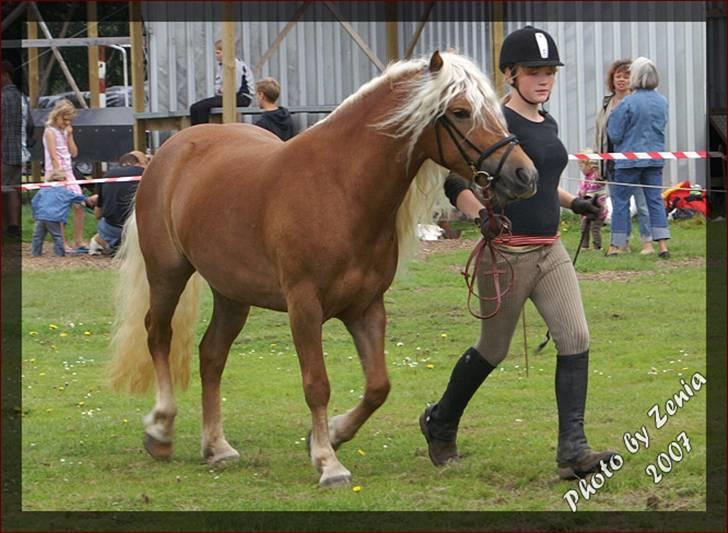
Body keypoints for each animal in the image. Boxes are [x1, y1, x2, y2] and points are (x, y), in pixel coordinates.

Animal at [109, 51, 540, 486]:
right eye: (460, 111)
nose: (525, 174)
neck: (339, 189)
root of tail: (171, 151)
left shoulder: (367, 308)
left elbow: (378, 387)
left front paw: (332, 434)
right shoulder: (304, 307)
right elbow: (317, 384)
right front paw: (328, 462)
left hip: (232, 294)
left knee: (211, 355)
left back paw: (217, 447)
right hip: (168, 273)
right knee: (158, 335)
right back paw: (161, 429)